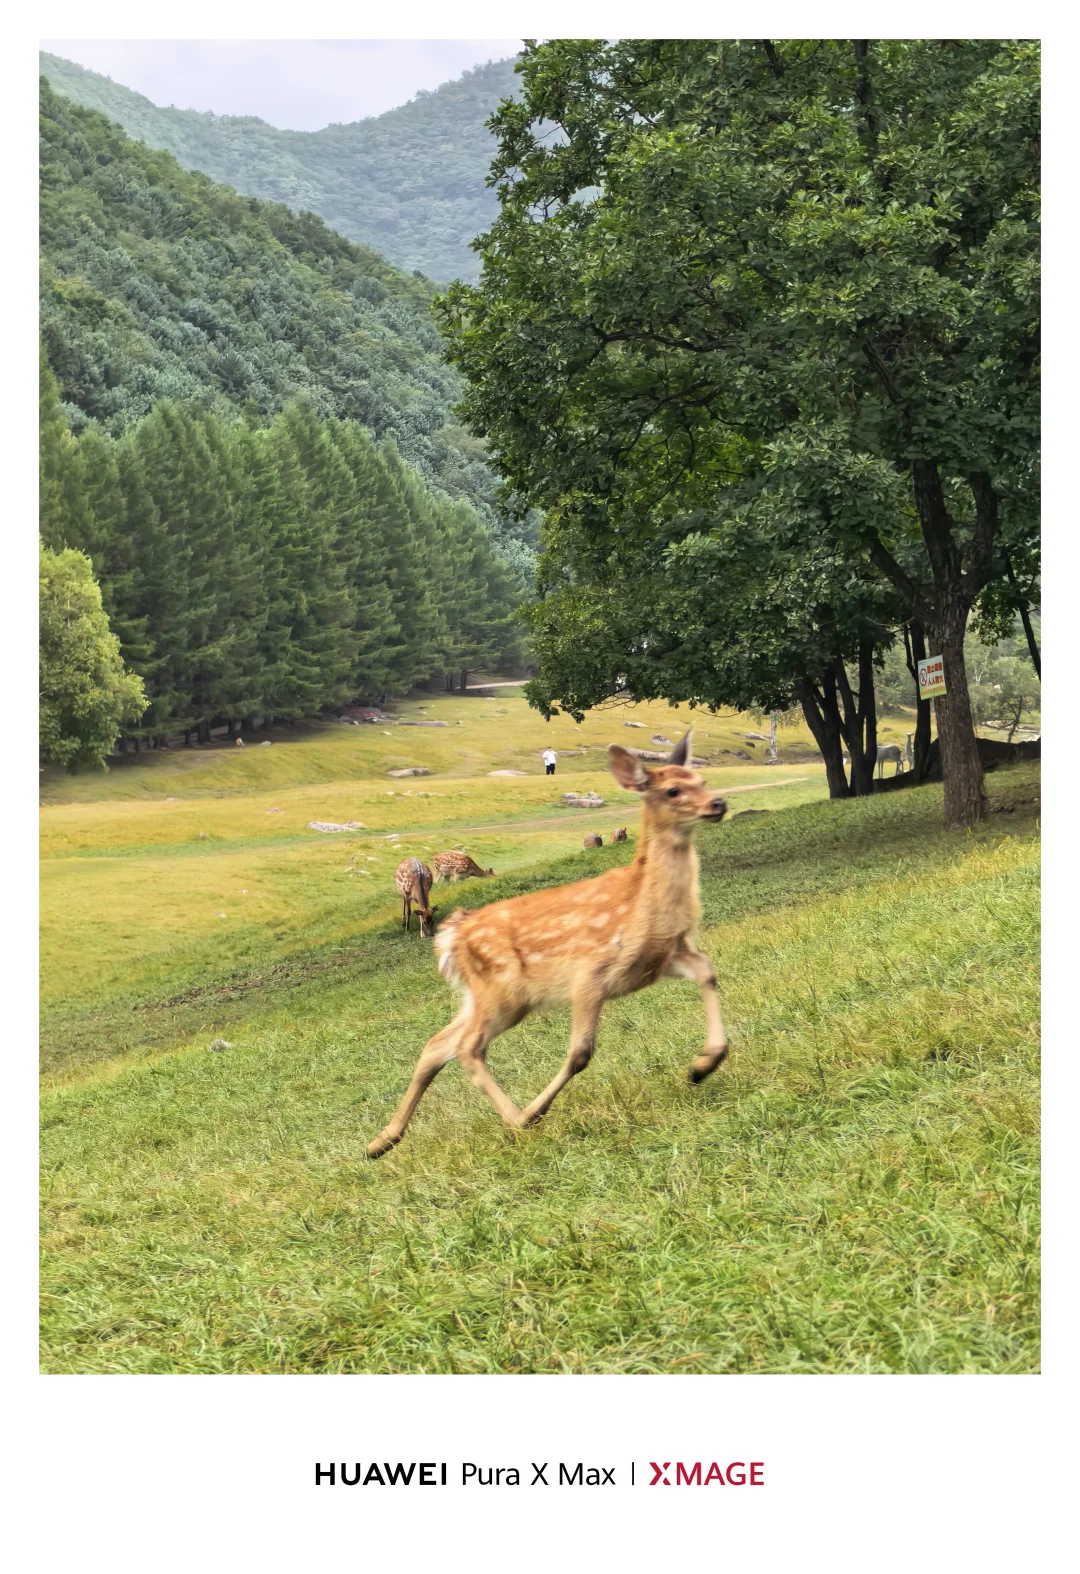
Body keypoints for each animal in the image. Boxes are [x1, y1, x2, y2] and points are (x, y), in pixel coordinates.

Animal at [367, 732, 728, 1158]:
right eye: (673, 789)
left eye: (702, 780)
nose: (718, 803)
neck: (643, 907)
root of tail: (451, 938)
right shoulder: (590, 972)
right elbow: (580, 1053)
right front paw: (535, 1111)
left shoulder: (663, 958)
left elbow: (708, 971)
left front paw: (702, 1066)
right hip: (503, 992)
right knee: (467, 1048)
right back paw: (517, 1120)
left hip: (484, 996)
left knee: (437, 1044)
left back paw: (382, 1141)